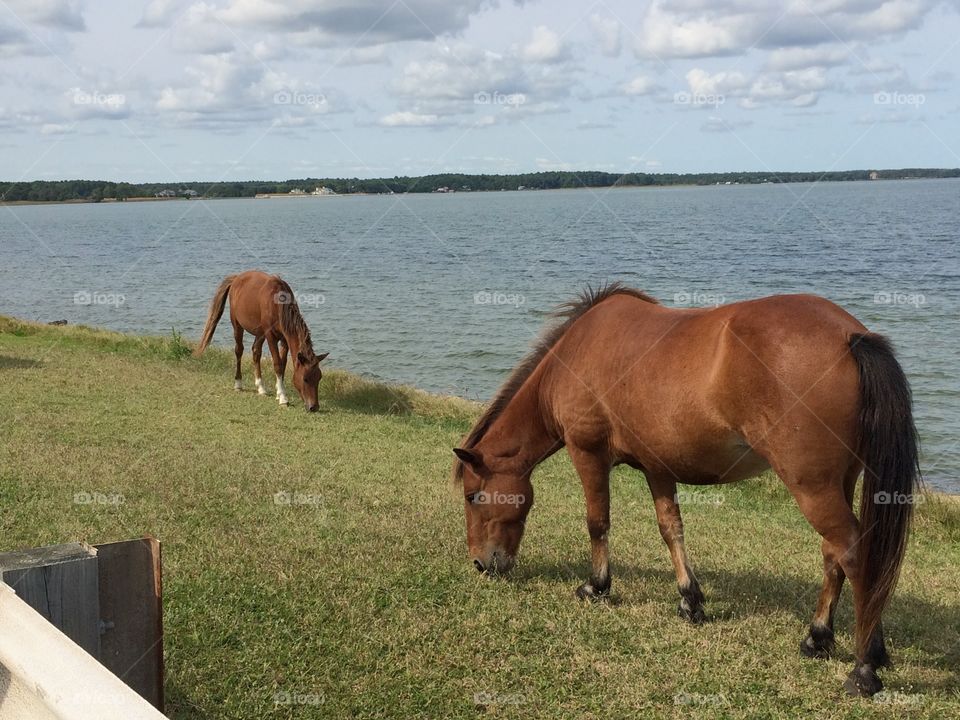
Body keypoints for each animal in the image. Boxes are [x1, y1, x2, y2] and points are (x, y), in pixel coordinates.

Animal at [194, 270, 328, 411]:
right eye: (305, 379)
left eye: (319, 378)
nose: (314, 406)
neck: (277, 305)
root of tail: (236, 278)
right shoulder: (270, 336)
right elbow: (277, 364)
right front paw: (283, 398)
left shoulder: (284, 339)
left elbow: (283, 364)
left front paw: (279, 391)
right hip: (237, 325)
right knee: (239, 350)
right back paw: (238, 383)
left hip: (259, 333)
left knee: (255, 352)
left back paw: (261, 387)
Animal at [453, 283, 919, 697]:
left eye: (473, 496)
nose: (480, 563)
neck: (575, 354)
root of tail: (850, 336)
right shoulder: (657, 467)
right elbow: (670, 529)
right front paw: (689, 601)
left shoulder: (588, 454)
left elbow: (597, 522)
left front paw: (596, 586)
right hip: (839, 482)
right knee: (834, 553)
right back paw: (819, 637)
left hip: (813, 487)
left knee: (853, 552)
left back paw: (864, 667)